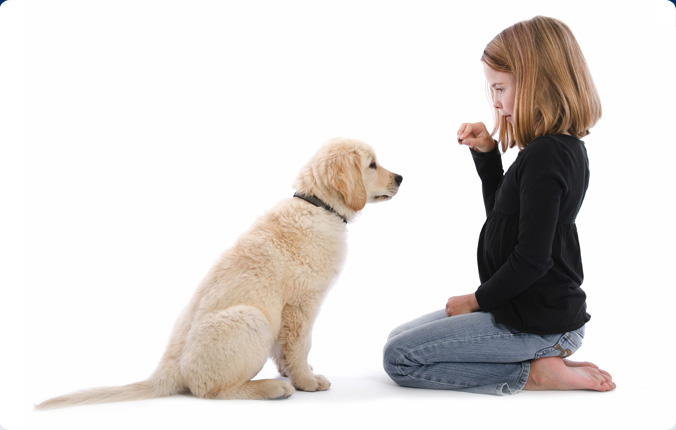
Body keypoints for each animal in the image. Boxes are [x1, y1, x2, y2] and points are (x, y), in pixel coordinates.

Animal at [37, 138, 402, 410]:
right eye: (372, 164)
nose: (400, 177)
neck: (316, 206)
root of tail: (168, 371)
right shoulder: (300, 305)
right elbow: (301, 345)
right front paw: (306, 381)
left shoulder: (287, 313)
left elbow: (286, 350)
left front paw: (294, 372)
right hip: (252, 319)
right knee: (208, 390)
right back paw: (271, 389)